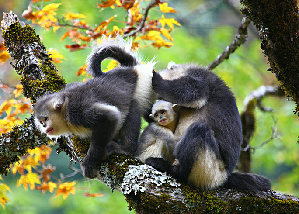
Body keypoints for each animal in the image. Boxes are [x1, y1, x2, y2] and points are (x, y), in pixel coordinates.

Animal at [34, 36, 157, 179]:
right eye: (41, 121)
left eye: (45, 119)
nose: (44, 126)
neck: (65, 110)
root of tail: (133, 69)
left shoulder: (77, 112)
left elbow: (110, 116)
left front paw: (89, 162)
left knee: (132, 107)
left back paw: (127, 149)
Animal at [145, 62, 272, 192]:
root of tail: (224, 177)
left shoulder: (202, 80)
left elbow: (193, 92)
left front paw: (155, 77)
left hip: (210, 170)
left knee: (198, 129)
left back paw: (173, 170)